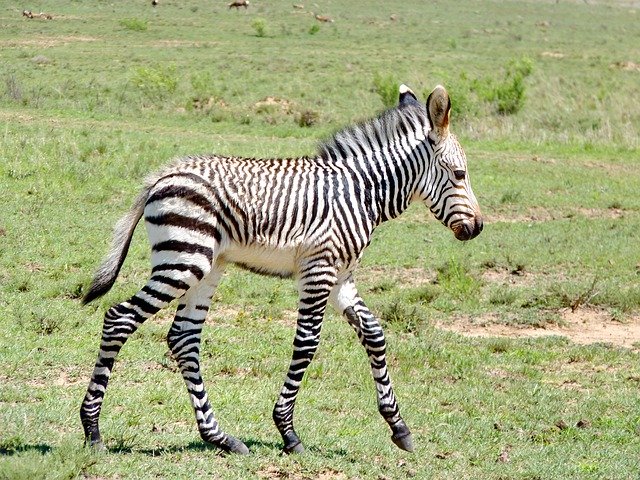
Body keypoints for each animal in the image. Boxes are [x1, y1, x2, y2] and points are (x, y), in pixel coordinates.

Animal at [79, 84, 480, 456]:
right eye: (460, 174)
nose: (477, 228)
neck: (361, 192)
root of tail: (161, 176)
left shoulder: (342, 276)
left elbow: (374, 334)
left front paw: (399, 427)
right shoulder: (319, 269)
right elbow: (307, 343)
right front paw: (287, 431)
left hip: (206, 266)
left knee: (183, 338)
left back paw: (220, 437)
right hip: (183, 260)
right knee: (120, 318)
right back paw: (93, 431)